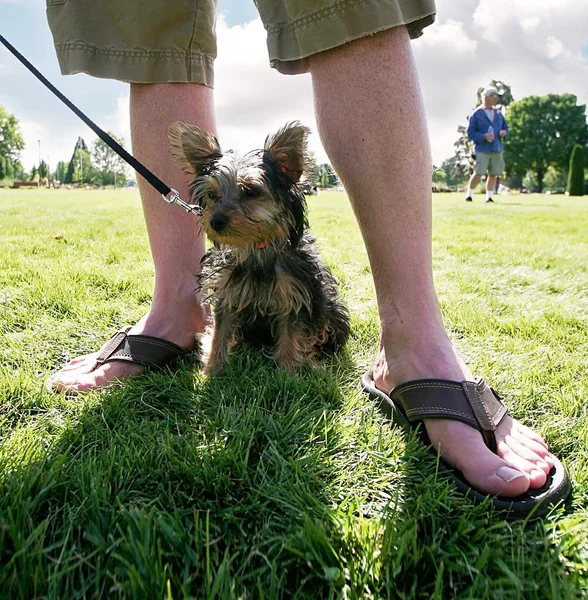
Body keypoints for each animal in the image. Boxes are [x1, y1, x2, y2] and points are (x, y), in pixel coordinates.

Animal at [168, 120, 350, 372]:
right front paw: (213, 368)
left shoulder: (294, 293)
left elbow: (291, 333)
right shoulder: (227, 291)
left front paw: (288, 372)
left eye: (251, 192)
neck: (255, 246)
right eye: (212, 195)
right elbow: (221, 330)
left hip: (333, 311)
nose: (215, 221)